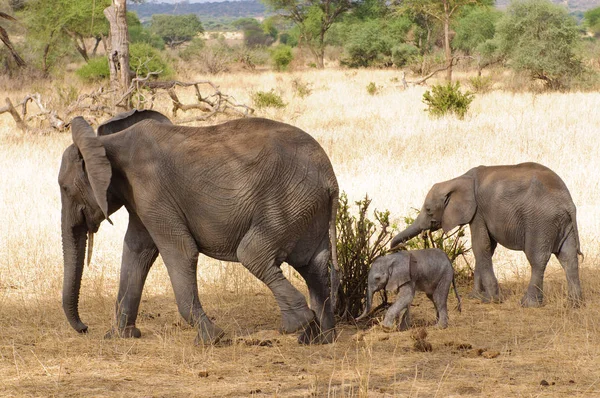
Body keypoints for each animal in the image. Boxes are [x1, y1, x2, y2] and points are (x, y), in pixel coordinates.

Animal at [58, 112, 340, 346]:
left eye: (65, 188)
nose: (84, 328)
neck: (105, 143)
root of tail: (330, 178)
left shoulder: (152, 190)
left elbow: (180, 251)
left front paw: (212, 339)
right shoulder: (139, 199)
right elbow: (136, 252)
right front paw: (119, 336)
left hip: (288, 201)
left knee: (253, 254)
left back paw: (296, 325)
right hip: (307, 207)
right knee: (314, 267)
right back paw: (318, 339)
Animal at [392, 162, 584, 308]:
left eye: (428, 210)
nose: (396, 248)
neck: (458, 179)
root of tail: (568, 203)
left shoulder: (478, 212)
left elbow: (480, 246)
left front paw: (491, 300)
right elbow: (487, 248)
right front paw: (475, 297)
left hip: (540, 221)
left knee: (537, 258)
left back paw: (528, 304)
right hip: (562, 223)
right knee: (568, 257)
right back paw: (574, 304)